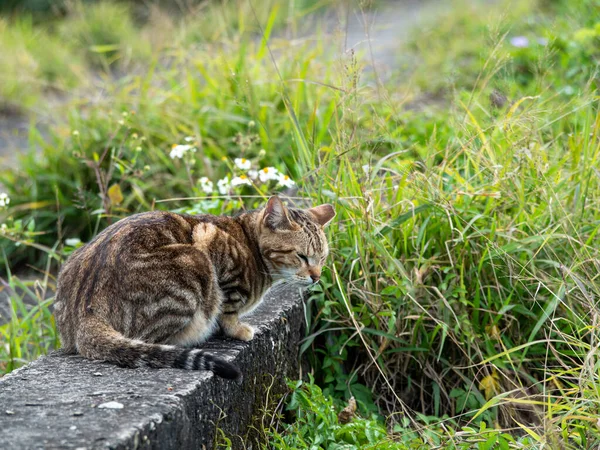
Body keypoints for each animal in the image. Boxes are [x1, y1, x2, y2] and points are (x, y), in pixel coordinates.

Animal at [54, 195, 336, 382]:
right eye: (301, 256)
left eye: (322, 258)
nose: (316, 277)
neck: (249, 243)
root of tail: (86, 311)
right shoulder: (210, 240)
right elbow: (228, 307)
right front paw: (237, 329)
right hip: (193, 262)